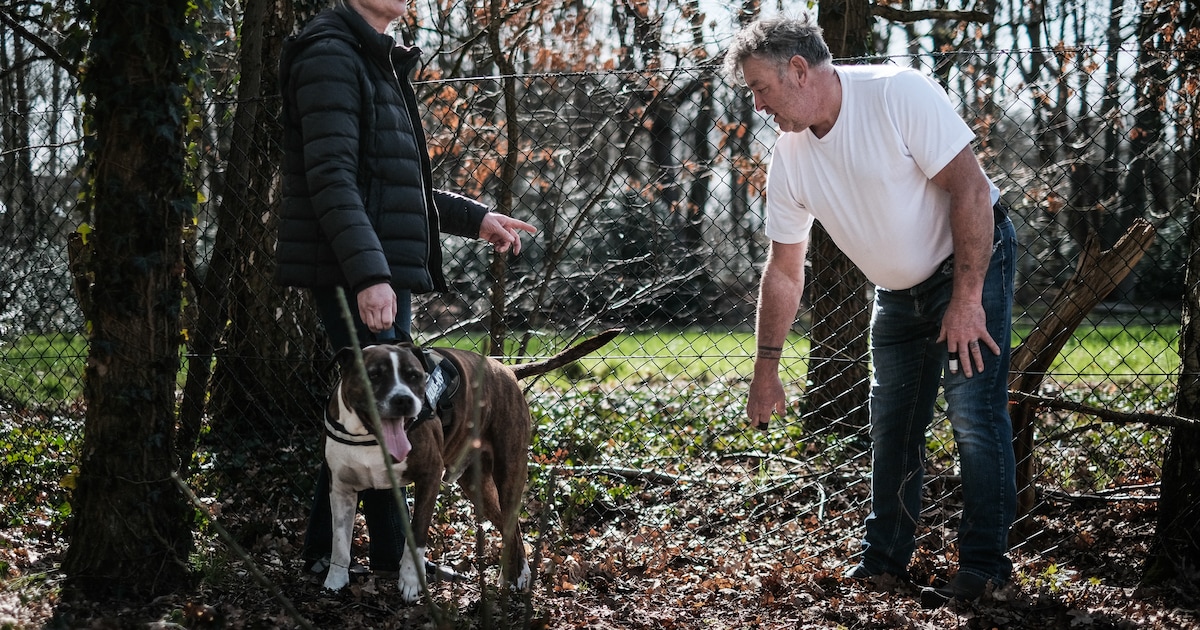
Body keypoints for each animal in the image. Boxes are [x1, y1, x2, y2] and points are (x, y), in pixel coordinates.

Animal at [319, 326, 619, 602]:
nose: (403, 399)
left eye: (414, 376)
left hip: (510, 471)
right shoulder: (341, 489)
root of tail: (506, 369)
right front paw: (334, 581)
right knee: (508, 526)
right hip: (477, 486)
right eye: (374, 375)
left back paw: (520, 577)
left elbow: (416, 536)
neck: (367, 437)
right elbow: (339, 541)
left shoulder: (429, 477)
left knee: (513, 525)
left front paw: (411, 583)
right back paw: (507, 577)